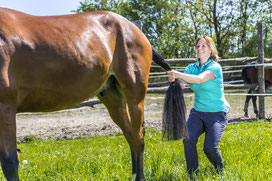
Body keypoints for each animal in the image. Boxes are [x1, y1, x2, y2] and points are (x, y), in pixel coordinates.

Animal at [0, 7, 172, 180]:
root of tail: (134, 28)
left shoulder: (6, 108)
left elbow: (9, 162)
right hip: (113, 98)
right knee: (130, 135)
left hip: (134, 96)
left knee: (138, 139)